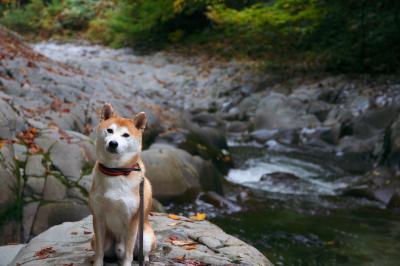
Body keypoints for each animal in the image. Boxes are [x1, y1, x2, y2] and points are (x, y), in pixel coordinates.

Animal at [89, 103, 156, 266]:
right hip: (97, 239)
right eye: (110, 130)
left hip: (145, 237)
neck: (115, 171)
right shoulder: (98, 216)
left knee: (142, 252)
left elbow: (129, 254)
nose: (113, 143)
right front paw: (97, 262)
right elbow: (99, 251)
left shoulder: (132, 220)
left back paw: (144, 259)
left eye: (126, 135)